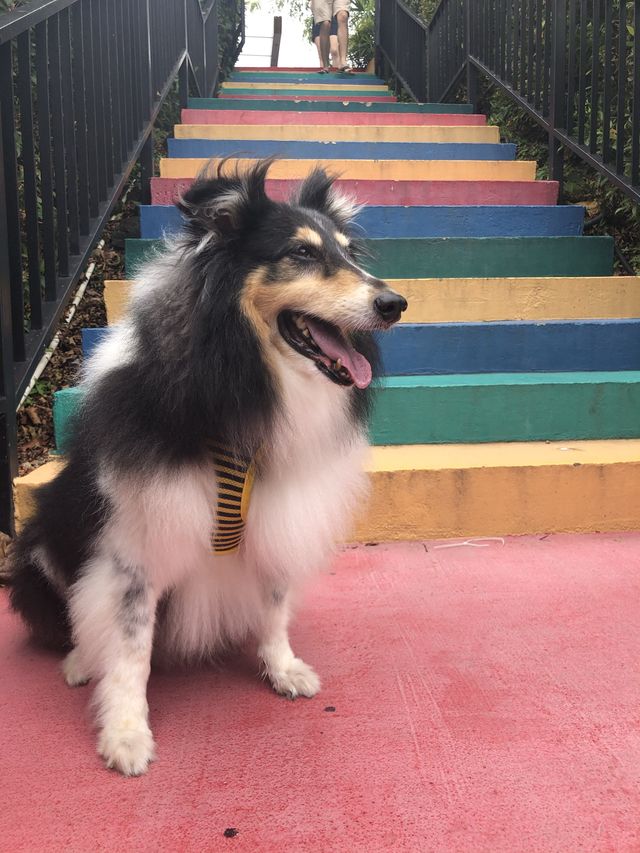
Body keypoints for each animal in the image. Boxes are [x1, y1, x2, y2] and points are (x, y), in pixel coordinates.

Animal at [7, 158, 408, 772]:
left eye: (348, 253)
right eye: (301, 253)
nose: (396, 305)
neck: (238, 383)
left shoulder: (276, 517)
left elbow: (274, 605)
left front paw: (282, 668)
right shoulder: (134, 547)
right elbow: (129, 648)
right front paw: (126, 734)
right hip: (42, 540)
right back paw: (79, 663)